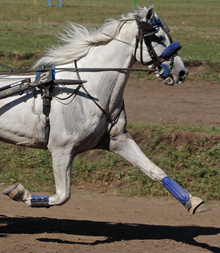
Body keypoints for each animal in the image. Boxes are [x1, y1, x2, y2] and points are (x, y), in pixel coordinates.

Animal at [0, 5, 210, 213]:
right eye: (158, 36)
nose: (181, 72)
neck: (88, 87)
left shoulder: (118, 139)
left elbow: (154, 170)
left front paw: (191, 200)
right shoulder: (61, 149)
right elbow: (62, 196)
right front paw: (20, 193)